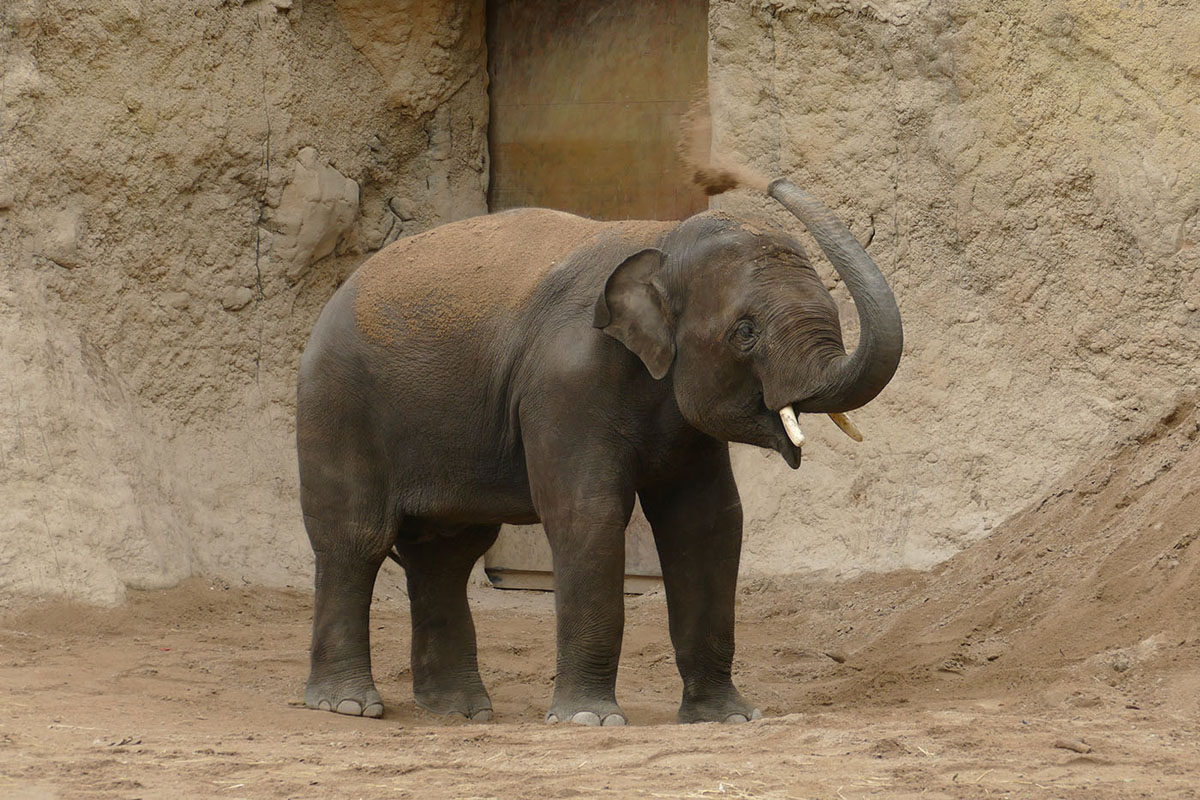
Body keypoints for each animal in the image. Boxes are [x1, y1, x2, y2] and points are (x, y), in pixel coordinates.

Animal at [296, 175, 902, 726]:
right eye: (745, 332)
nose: (774, 181)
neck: (663, 239)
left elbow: (708, 522)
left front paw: (728, 719)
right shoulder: (565, 383)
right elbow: (588, 514)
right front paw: (589, 719)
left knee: (447, 552)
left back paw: (461, 712)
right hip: (337, 407)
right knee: (356, 539)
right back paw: (348, 706)